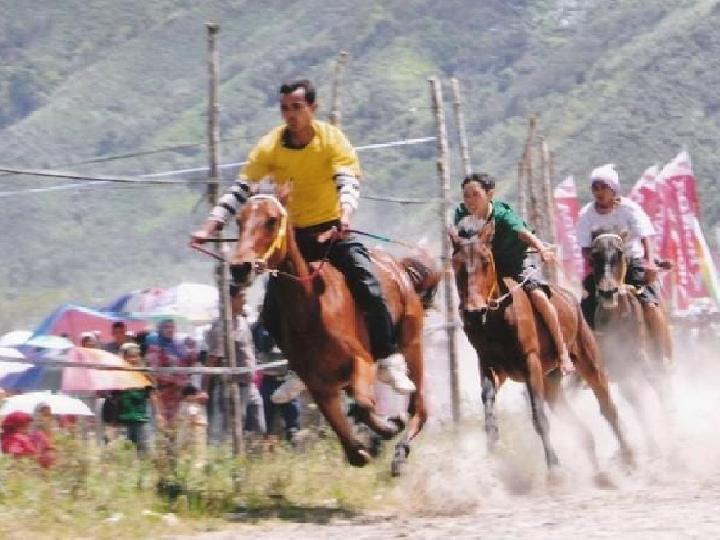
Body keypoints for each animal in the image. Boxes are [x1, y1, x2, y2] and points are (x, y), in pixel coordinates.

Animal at [229, 193, 438, 472]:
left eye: (272, 220)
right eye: (239, 220)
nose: (240, 267)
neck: (311, 310)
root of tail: (399, 268)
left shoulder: (362, 361)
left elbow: (363, 404)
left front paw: (389, 426)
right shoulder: (320, 386)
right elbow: (355, 452)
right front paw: (381, 431)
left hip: (411, 344)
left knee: (419, 408)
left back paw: (400, 450)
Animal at [452, 219, 632, 472]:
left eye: (486, 261)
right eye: (456, 264)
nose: (474, 312)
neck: (498, 318)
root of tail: (571, 298)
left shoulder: (531, 362)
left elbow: (539, 417)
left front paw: (554, 468)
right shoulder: (487, 364)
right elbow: (488, 407)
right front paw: (492, 451)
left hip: (587, 359)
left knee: (607, 407)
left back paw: (628, 455)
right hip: (551, 382)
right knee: (579, 426)